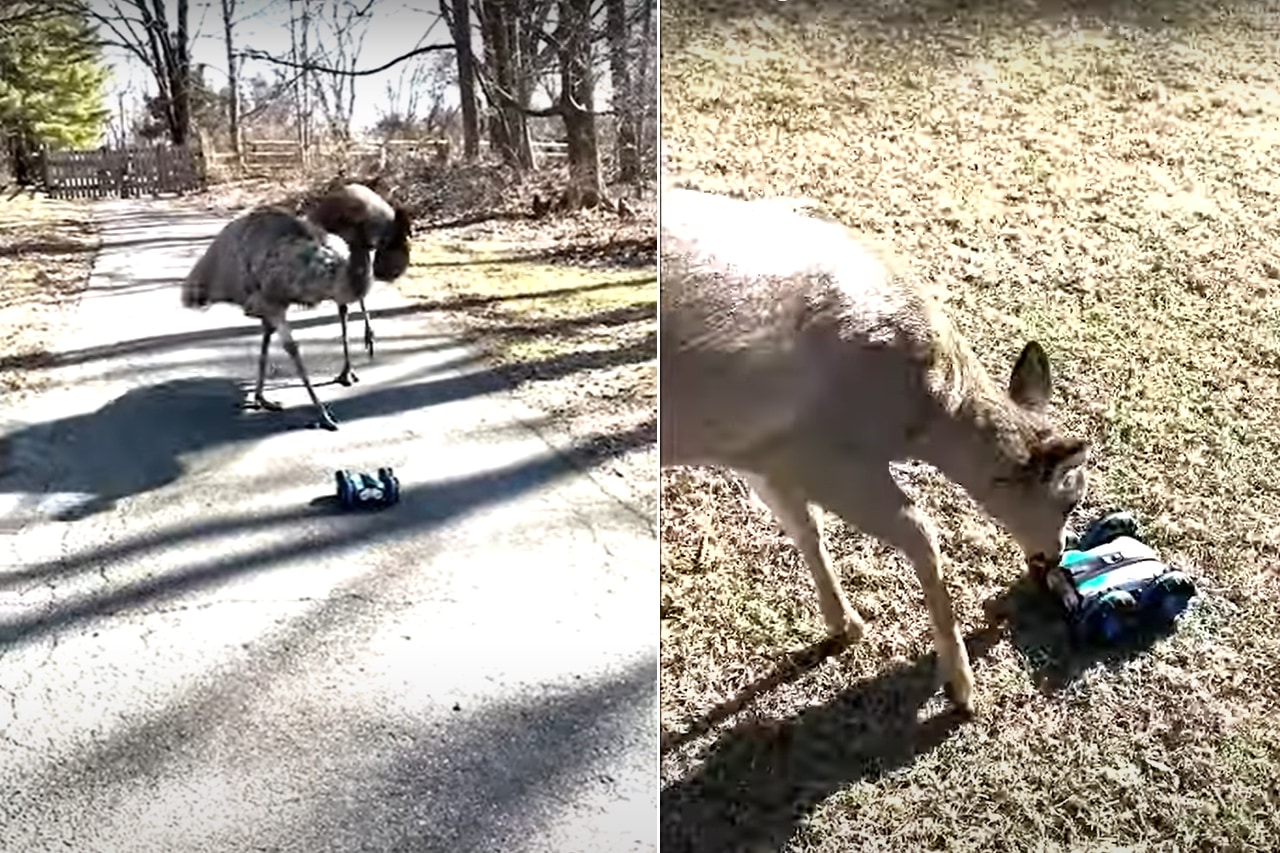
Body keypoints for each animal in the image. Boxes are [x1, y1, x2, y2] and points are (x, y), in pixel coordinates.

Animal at [660, 185, 1090, 712]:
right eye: (1071, 500)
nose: (1056, 555)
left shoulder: (762, 455)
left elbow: (805, 528)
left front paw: (844, 625)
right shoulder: (826, 456)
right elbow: (921, 531)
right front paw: (961, 687)